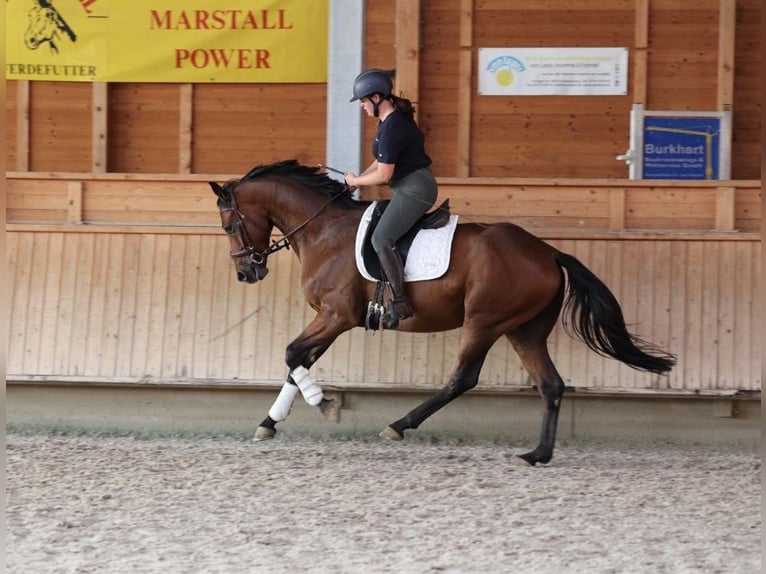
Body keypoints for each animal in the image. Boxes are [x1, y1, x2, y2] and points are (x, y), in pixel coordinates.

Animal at [209, 160, 675, 466]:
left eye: (230, 226)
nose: (246, 272)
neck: (324, 231)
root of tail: (548, 253)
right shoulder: (330, 318)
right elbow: (297, 362)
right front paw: (269, 422)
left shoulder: (336, 316)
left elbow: (291, 355)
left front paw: (321, 403)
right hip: (524, 330)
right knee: (551, 385)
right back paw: (537, 454)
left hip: (484, 321)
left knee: (463, 378)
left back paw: (399, 425)